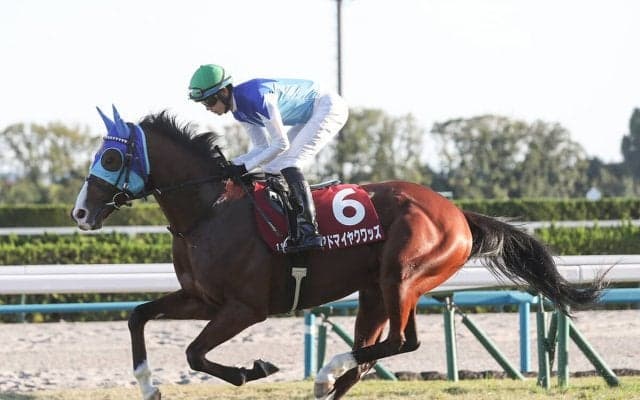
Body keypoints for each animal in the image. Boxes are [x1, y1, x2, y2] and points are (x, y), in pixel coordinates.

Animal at [71, 106, 606, 400]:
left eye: (111, 157)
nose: (80, 212)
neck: (209, 210)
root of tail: (458, 214)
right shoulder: (201, 298)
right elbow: (139, 316)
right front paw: (148, 385)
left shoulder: (246, 308)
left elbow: (196, 353)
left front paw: (254, 369)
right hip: (377, 290)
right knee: (378, 352)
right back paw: (329, 382)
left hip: (403, 275)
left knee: (400, 343)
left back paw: (325, 373)